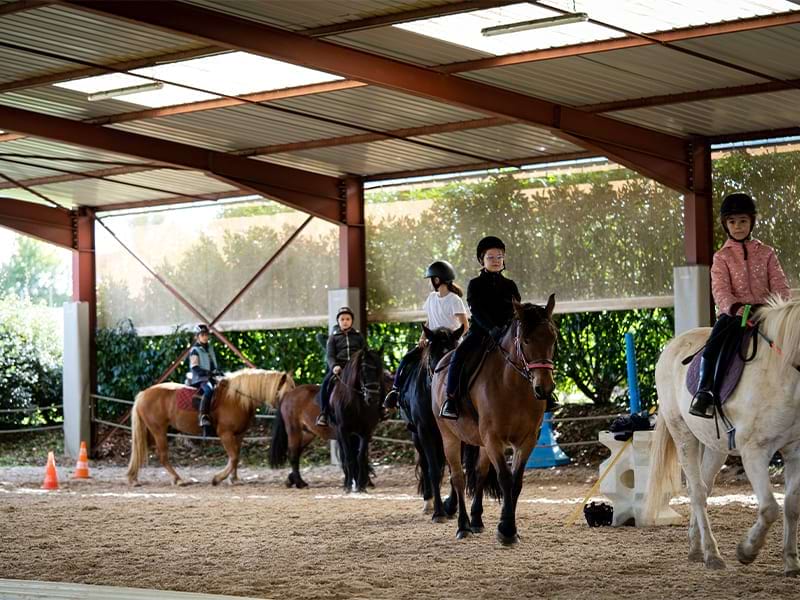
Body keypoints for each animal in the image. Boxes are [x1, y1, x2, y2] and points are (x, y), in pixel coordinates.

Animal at [128, 366, 294, 488]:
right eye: (287, 390)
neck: (236, 397)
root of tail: (144, 393)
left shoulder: (239, 434)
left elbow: (236, 456)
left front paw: (234, 479)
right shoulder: (225, 433)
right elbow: (234, 457)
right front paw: (218, 478)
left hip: (154, 431)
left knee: (140, 449)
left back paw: (133, 478)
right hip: (159, 430)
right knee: (162, 456)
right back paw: (178, 479)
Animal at [332, 346, 388, 492]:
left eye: (378, 371)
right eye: (363, 370)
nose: (372, 398)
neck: (356, 403)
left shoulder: (366, 431)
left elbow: (360, 456)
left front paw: (361, 485)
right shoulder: (343, 430)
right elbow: (349, 457)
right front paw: (348, 486)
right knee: (345, 456)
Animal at [400, 326, 462, 516]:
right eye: (434, 356)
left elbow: (453, 468)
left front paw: (451, 506)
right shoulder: (424, 431)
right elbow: (432, 469)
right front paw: (439, 511)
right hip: (416, 436)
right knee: (425, 464)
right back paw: (429, 501)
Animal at [432, 296, 556, 544]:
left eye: (553, 338)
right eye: (526, 340)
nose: (545, 388)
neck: (514, 386)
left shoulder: (527, 440)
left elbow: (516, 481)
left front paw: (509, 527)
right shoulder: (493, 439)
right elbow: (505, 479)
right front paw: (506, 529)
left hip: (480, 442)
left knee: (479, 473)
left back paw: (476, 520)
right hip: (449, 436)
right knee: (458, 477)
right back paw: (463, 526)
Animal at [648, 296, 800, 576]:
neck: (782, 374)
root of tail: (673, 344)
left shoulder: (795, 451)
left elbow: (791, 506)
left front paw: (791, 562)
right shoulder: (754, 452)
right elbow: (770, 508)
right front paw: (747, 551)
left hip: (715, 446)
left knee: (704, 489)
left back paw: (696, 548)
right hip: (683, 435)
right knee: (697, 492)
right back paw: (712, 554)